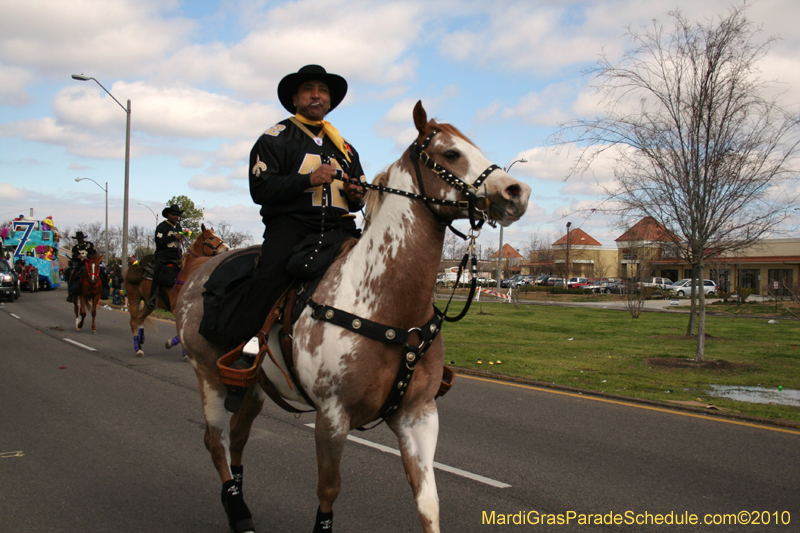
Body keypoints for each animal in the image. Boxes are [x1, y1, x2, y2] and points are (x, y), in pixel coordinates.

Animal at [123, 222, 228, 356]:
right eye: (211, 237)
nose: (227, 248)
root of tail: (133, 266)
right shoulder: (176, 308)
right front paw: (174, 345)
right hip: (134, 298)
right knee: (133, 321)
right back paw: (138, 348)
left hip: (149, 304)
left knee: (140, 319)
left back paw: (141, 342)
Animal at [174, 101, 528, 532]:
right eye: (450, 153)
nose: (517, 192)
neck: (386, 306)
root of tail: (200, 271)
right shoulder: (332, 416)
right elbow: (328, 491)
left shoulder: (419, 417)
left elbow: (428, 503)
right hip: (209, 376)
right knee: (216, 442)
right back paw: (237, 510)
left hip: (255, 386)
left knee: (238, 438)